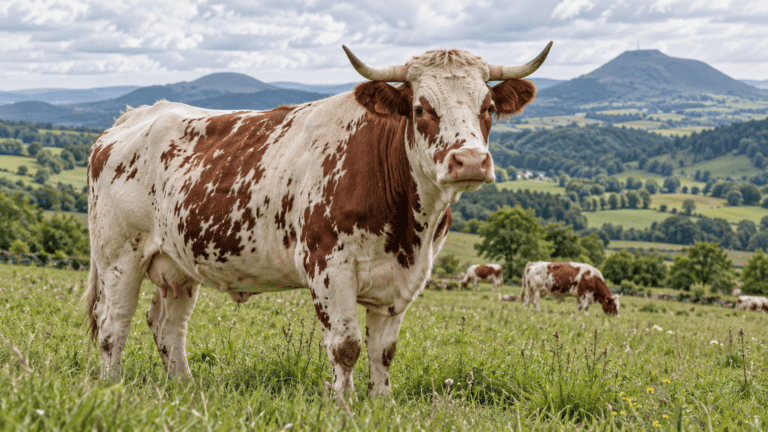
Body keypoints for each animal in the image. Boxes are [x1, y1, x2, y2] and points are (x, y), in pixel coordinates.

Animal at [84, 42, 552, 396]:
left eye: (487, 106)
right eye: (421, 108)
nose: (470, 160)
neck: (408, 229)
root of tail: (137, 115)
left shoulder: (403, 280)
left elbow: (384, 352)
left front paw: (380, 404)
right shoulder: (329, 266)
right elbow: (346, 346)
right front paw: (342, 404)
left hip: (177, 264)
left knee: (168, 326)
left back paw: (184, 386)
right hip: (118, 256)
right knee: (113, 325)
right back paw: (111, 385)